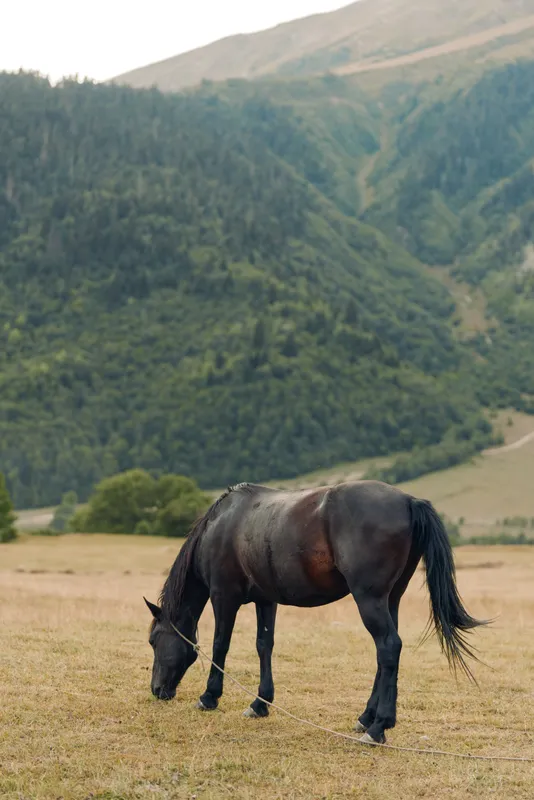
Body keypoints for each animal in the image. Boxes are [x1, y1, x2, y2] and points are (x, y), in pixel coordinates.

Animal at [144, 480, 486, 744]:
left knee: (389, 646)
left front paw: (209, 696)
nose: (157, 690)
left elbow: (220, 646)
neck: (223, 524)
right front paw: (260, 703)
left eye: (153, 641)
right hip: (391, 599)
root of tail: (407, 501)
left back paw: (378, 727)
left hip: (370, 599)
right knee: (386, 653)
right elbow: (264, 646)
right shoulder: (265, 601)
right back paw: (366, 717)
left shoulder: (223, 597)